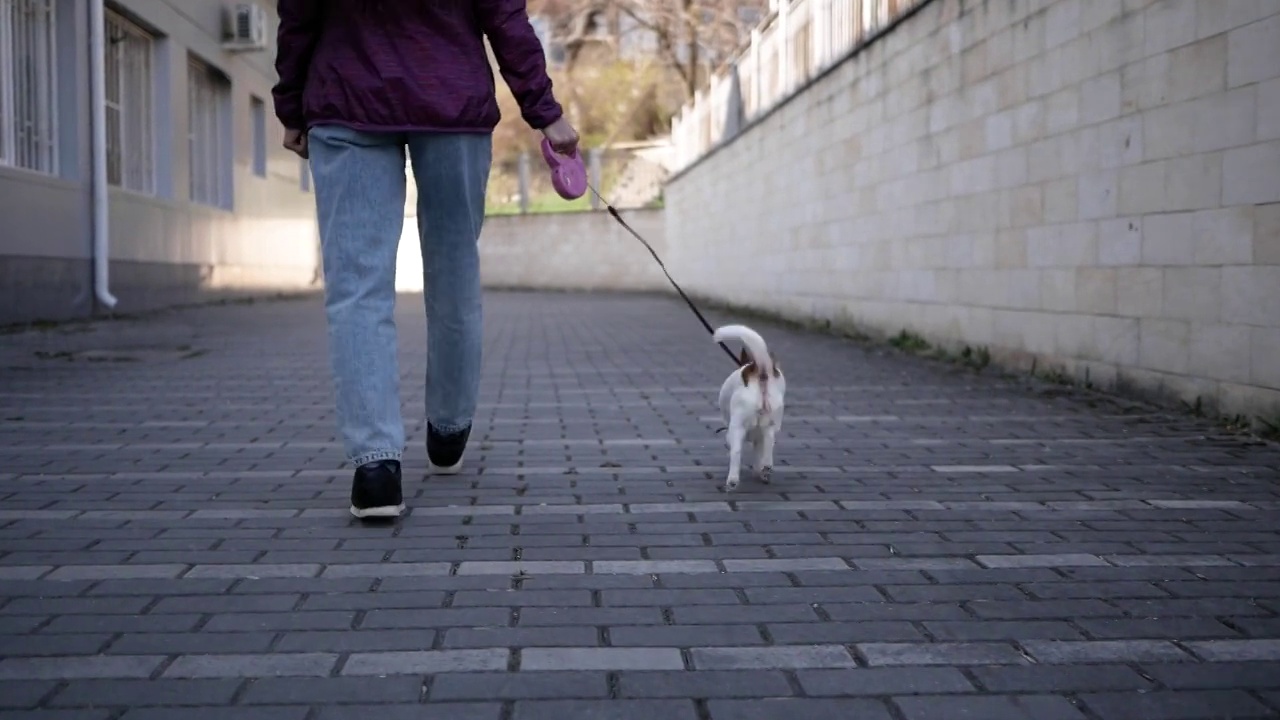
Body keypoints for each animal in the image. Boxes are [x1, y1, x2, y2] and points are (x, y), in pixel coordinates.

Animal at [716, 324, 783, 486]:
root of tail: (760, 370)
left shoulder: (731, 432)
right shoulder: (759, 437)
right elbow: (759, 454)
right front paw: (760, 471)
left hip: (737, 426)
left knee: (736, 452)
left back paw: (732, 480)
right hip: (772, 422)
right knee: (769, 442)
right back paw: (766, 467)